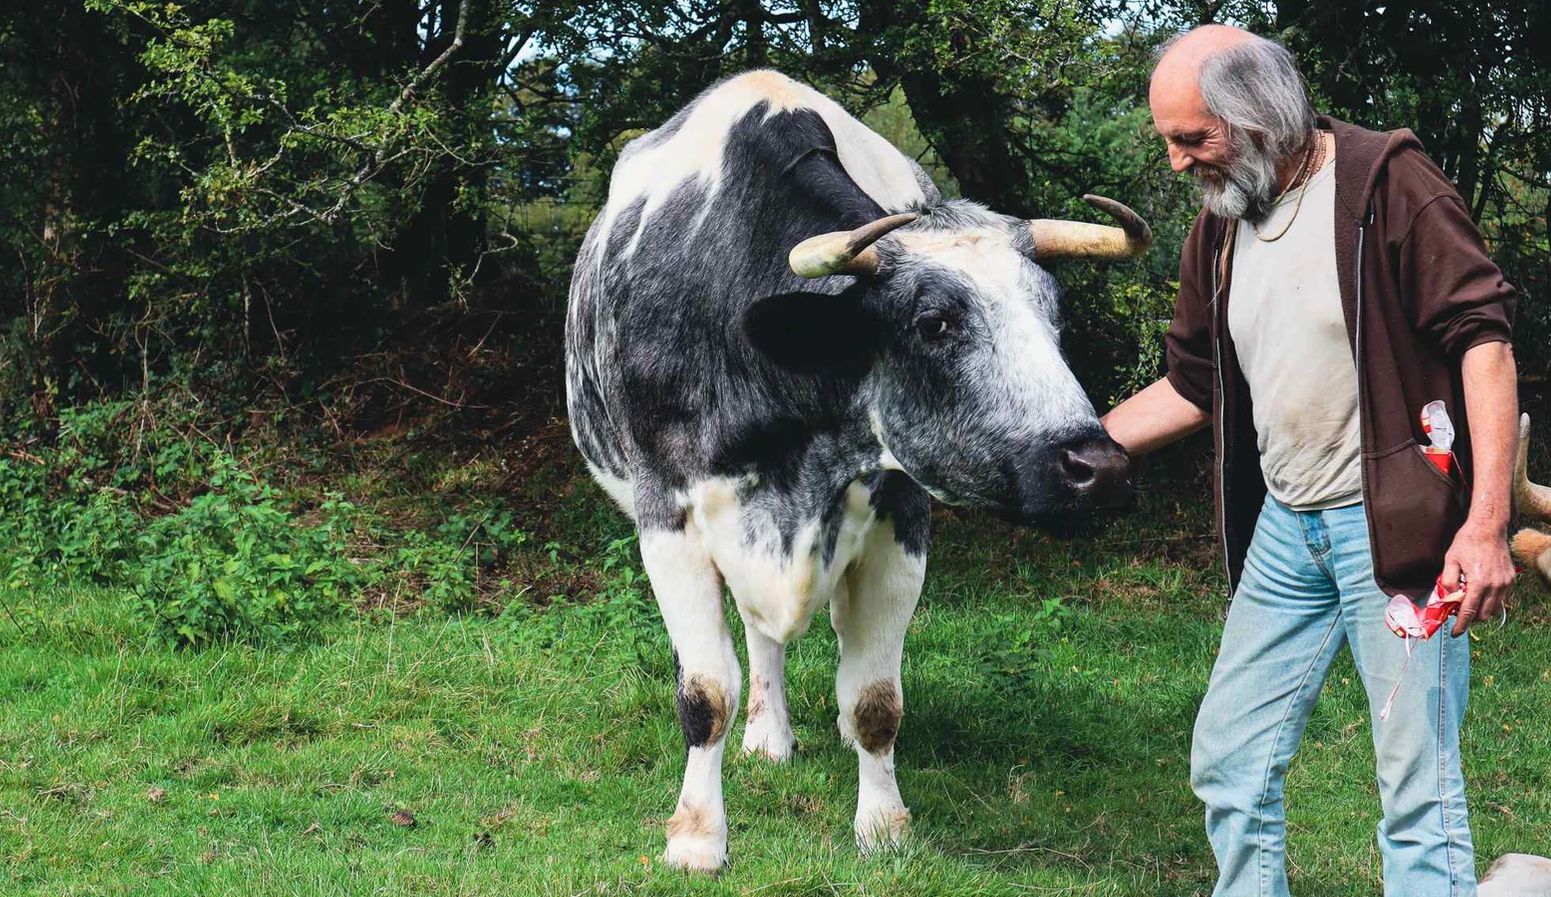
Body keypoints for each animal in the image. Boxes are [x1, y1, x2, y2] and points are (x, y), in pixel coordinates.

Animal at [564, 68, 1147, 869]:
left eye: (1054, 318)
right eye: (934, 323)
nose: (1100, 465)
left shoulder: (902, 520)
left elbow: (875, 699)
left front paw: (883, 824)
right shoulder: (668, 520)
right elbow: (705, 692)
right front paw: (697, 834)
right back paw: (766, 734)